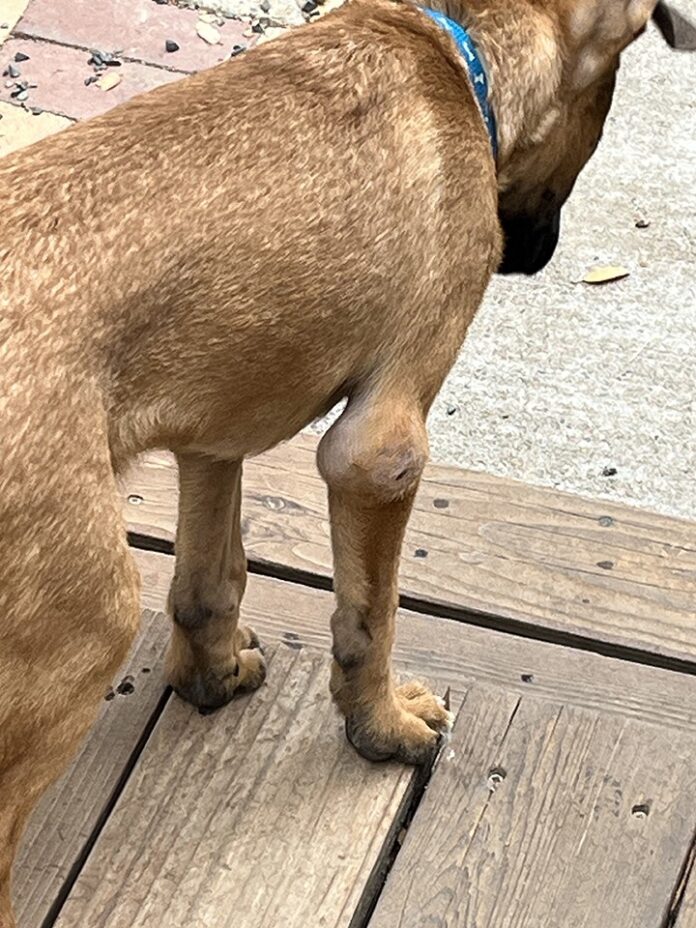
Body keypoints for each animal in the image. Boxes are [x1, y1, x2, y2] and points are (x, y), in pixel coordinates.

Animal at [0, 0, 688, 916]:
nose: (531, 256)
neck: (451, 50)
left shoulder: (217, 421)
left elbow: (209, 581)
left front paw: (211, 677)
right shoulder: (376, 453)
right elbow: (370, 621)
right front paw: (384, 729)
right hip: (88, 616)